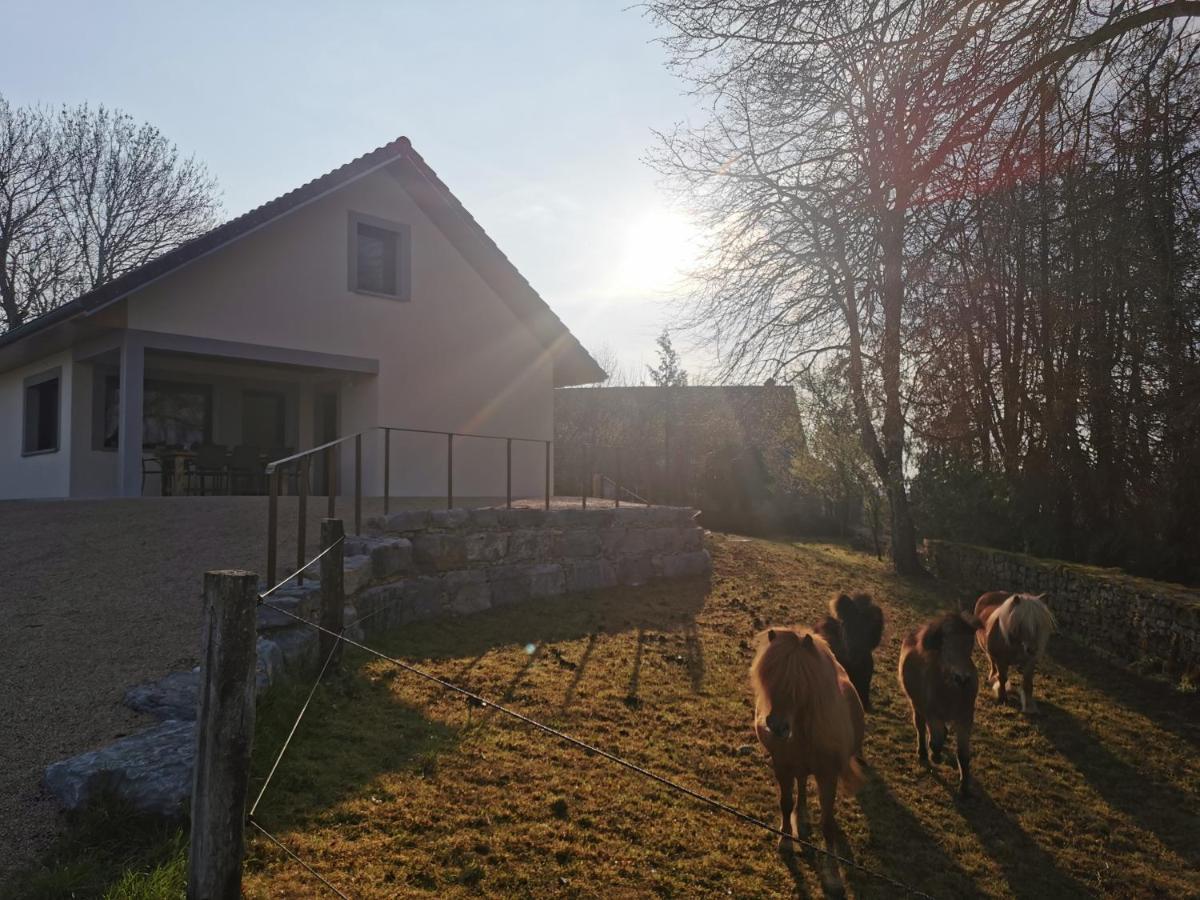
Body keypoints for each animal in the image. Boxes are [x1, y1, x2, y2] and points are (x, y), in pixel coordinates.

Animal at [748, 628, 864, 897]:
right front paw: (785, 841)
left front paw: (833, 876)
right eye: (769, 677)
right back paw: (799, 817)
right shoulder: (782, 765)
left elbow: (827, 824)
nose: (776, 726)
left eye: (800, 684)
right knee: (800, 785)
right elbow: (785, 803)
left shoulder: (828, 775)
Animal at [897, 619, 979, 801]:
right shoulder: (933, 715)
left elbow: (963, 754)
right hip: (917, 705)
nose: (962, 678)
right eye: (945, 644)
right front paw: (935, 755)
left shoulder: (965, 719)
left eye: (970, 644)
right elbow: (936, 739)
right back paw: (923, 752)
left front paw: (964, 788)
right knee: (920, 727)